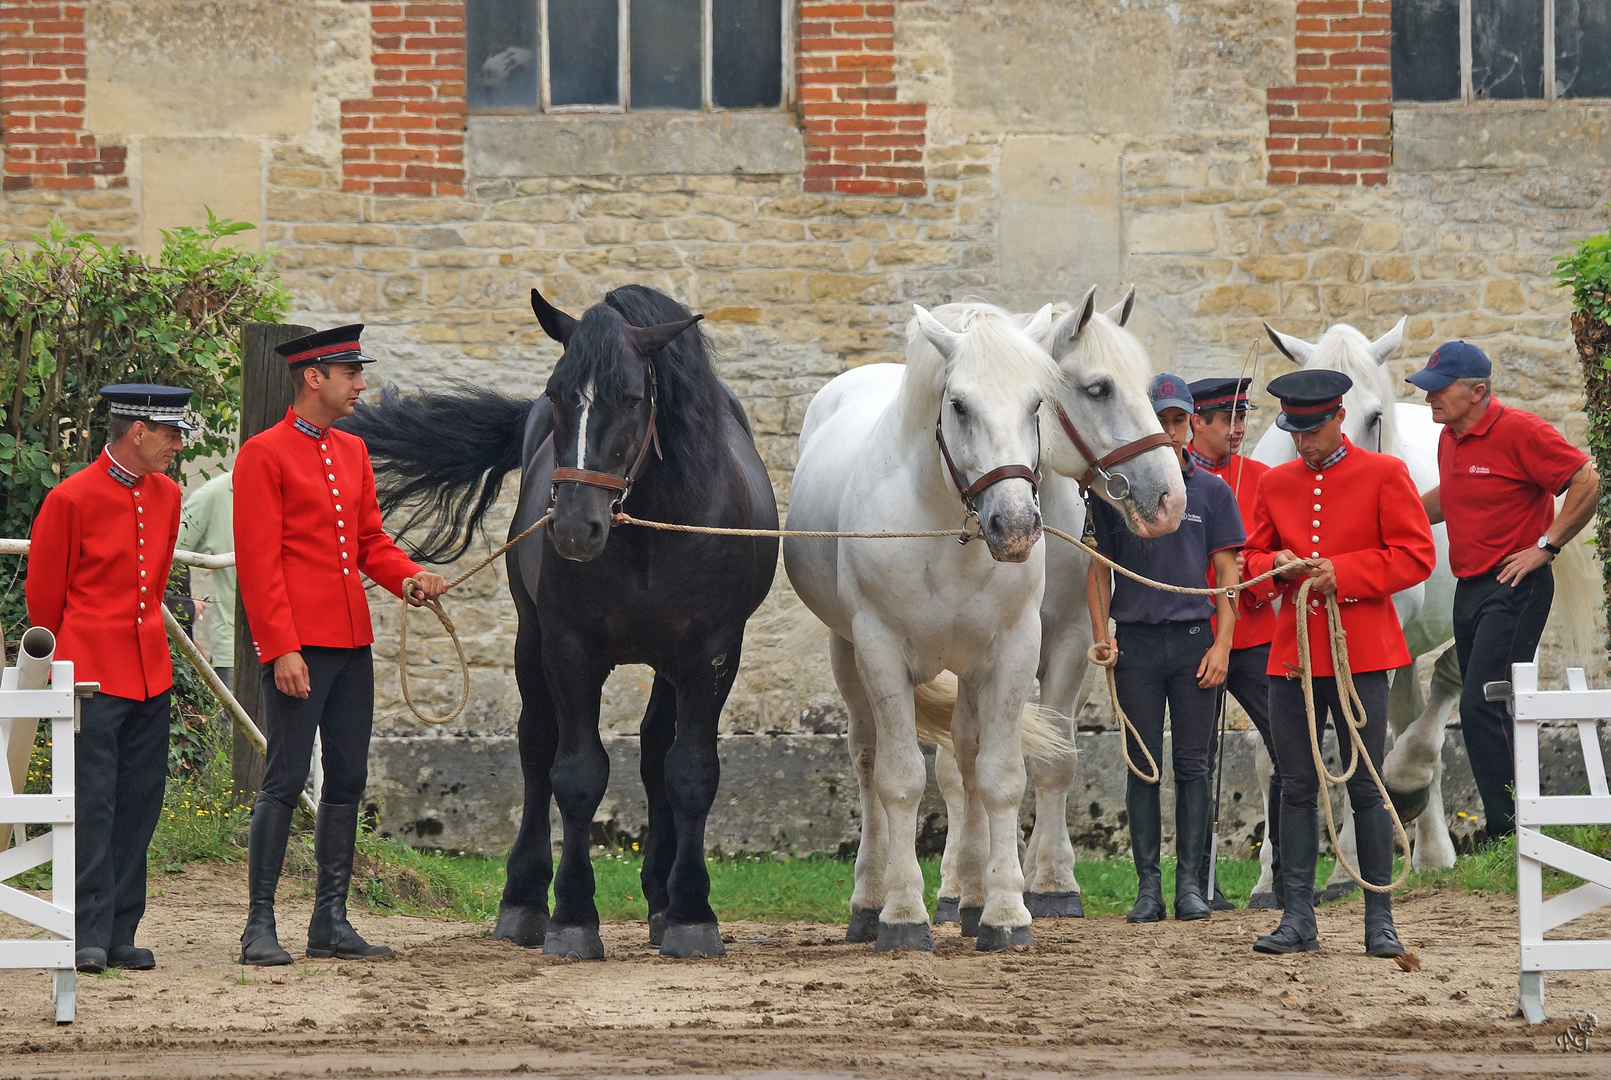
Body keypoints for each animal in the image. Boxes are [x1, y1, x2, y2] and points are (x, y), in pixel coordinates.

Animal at [346, 283, 779, 960]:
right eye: (555, 393)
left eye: (632, 398)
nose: (576, 527)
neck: (647, 532)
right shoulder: (570, 648)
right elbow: (576, 774)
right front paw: (573, 915)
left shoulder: (710, 654)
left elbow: (690, 772)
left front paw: (690, 913)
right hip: (531, 641)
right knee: (535, 747)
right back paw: (524, 900)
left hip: (666, 664)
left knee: (655, 750)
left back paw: (660, 898)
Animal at [782, 299, 1185, 954]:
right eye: (959, 405)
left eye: (1036, 402)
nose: (1168, 498)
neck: (945, 525)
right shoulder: (880, 649)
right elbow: (901, 779)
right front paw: (904, 913)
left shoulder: (1033, 647)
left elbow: (1010, 773)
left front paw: (1017, 903)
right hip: (848, 653)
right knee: (869, 763)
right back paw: (872, 900)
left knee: (967, 760)